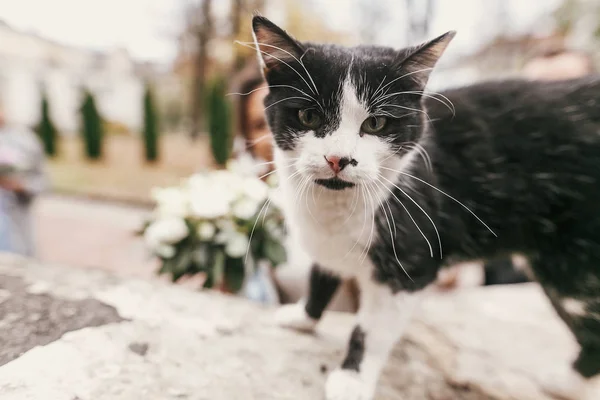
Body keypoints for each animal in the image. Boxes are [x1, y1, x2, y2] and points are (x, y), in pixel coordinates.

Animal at [251, 16, 600, 400]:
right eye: (309, 116)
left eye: (376, 123)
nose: (337, 158)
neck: (338, 205)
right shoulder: (330, 243)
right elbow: (321, 275)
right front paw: (303, 317)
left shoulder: (409, 264)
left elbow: (371, 329)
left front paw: (352, 378)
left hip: (572, 267)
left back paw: (566, 380)